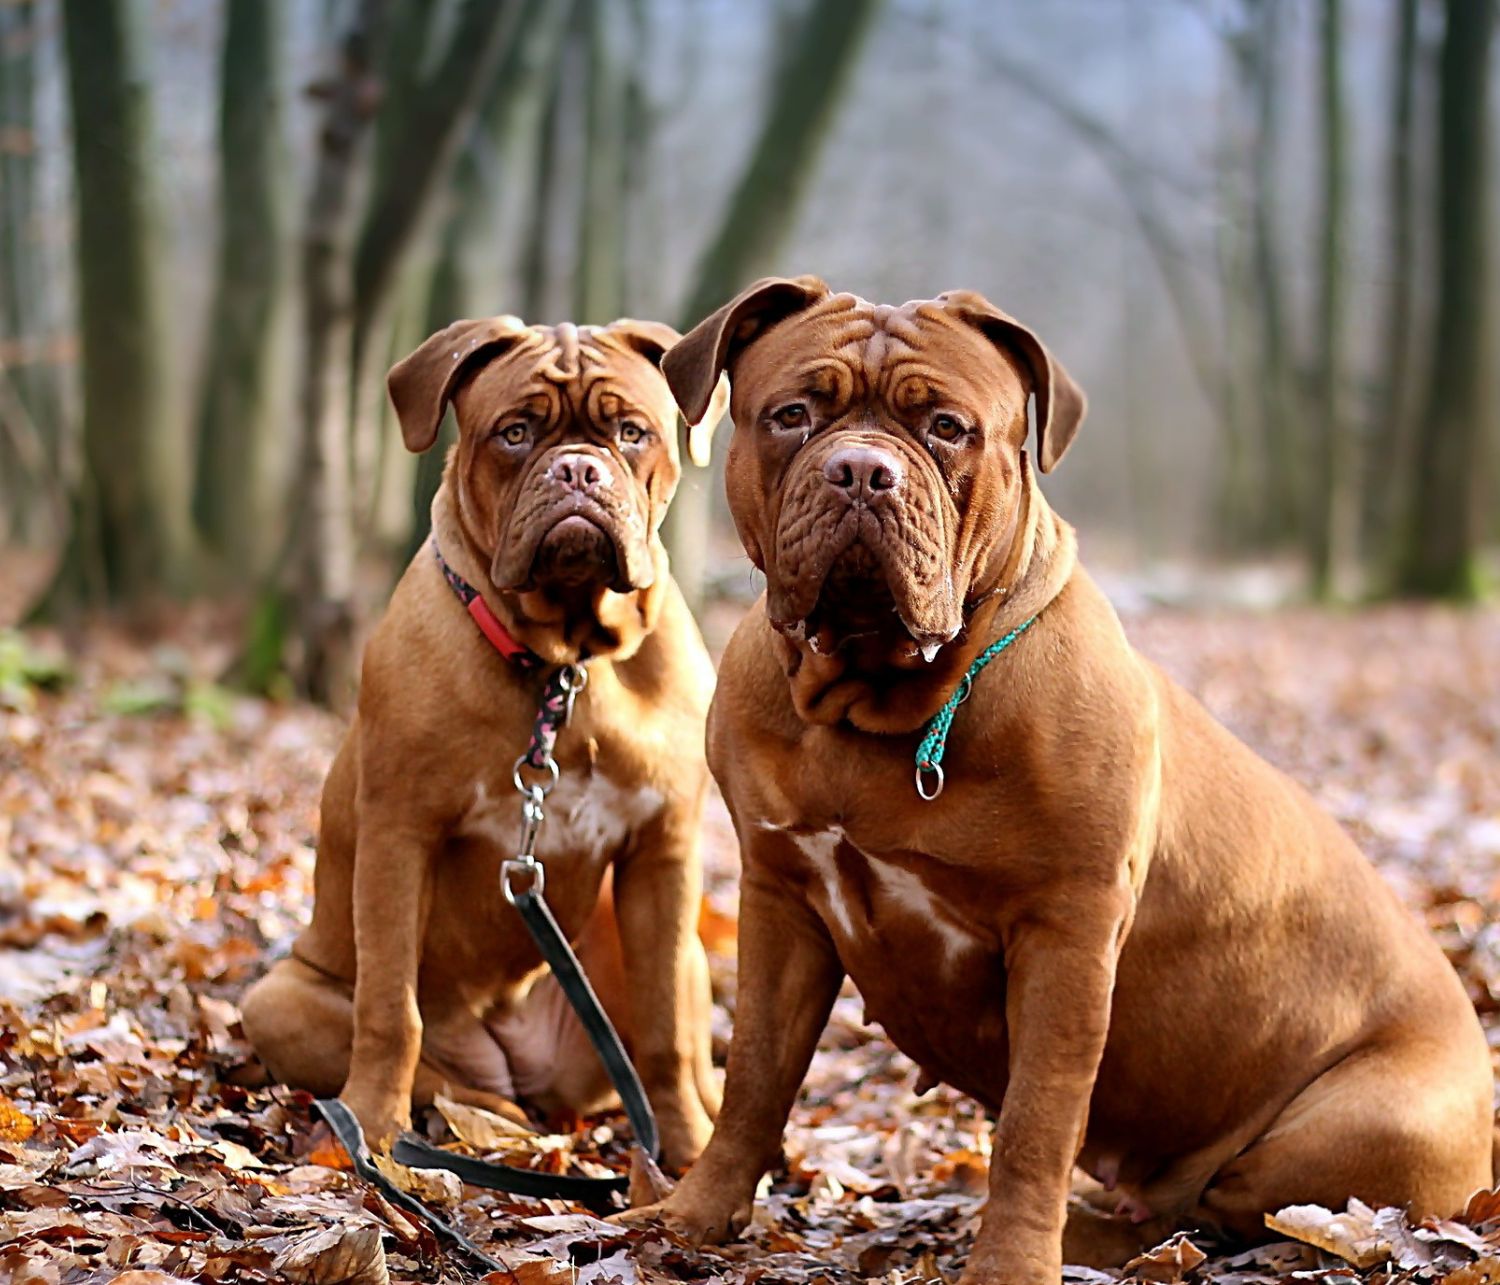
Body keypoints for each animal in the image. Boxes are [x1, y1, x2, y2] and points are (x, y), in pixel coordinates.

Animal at [240, 313, 726, 1163]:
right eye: (516, 432)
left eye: (631, 432)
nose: (575, 469)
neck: (567, 663)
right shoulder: (400, 835)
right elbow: (389, 1009)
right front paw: (370, 1125)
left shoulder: (662, 853)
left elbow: (666, 1027)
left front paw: (692, 1153)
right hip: (282, 997)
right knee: (440, 1070)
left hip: (669, 948)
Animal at [627, 280, 1494, 1283]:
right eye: (793, 415)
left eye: (949, 427)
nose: (859, 470)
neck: (876, 702)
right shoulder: (780, 897)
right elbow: (756, 1074)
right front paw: (691, 1216)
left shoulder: (1067, 935)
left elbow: (1037, 1122)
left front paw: (1010, 1260)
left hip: (1344, 1133)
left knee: (1227, 1212)